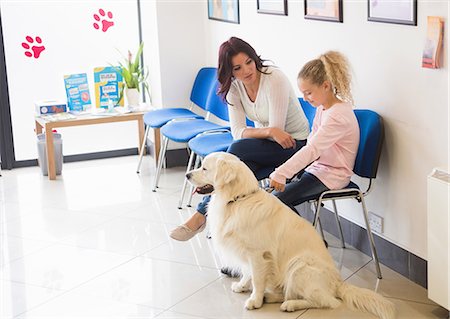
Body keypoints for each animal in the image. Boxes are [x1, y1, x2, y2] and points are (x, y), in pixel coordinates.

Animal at [185, 152, 396, 319]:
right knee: (291, 292)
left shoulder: (258, 254)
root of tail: (338, 283)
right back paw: (271, 297)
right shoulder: (247, 252)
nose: (187, 174)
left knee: (325, 301)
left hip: (299, 266)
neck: (238, 200)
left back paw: (289, 305)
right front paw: (244, 286)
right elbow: (248, 272)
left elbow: (257, 278)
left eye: (204, 168)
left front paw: (254, 300)